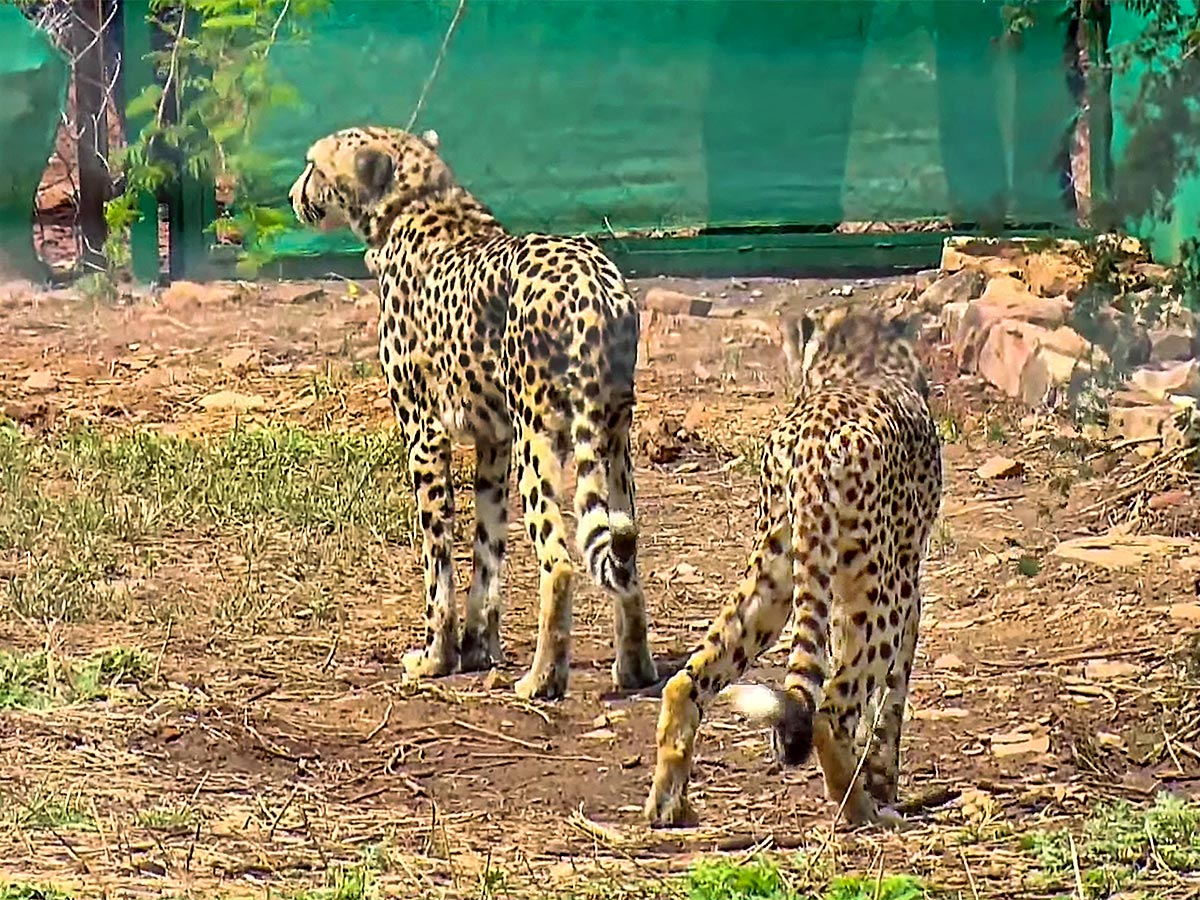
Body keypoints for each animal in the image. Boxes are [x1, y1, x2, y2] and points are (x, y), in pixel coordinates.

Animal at [288, 125, 657, 705]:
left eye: (314, 166)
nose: (292, 194)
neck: (416, 203)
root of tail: (593, 282)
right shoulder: (494, 441)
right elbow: (487, 552)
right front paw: (478, 648)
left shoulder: (425, 435)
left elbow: (437, 560)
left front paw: (436, 658)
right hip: (613, 438)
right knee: (626, 551)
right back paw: (635, 668)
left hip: (539, 436)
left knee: (559, 560)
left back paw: (542, 679)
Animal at [643, 304, 940, 830]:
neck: (858, 359)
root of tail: (814, 446)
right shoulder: (907, 580)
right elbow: (892, 698)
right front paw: (883, 781)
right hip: (882, 592)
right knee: (831, 709)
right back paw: (861, 811)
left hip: (774, 577)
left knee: (687, 679)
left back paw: (667, 804)